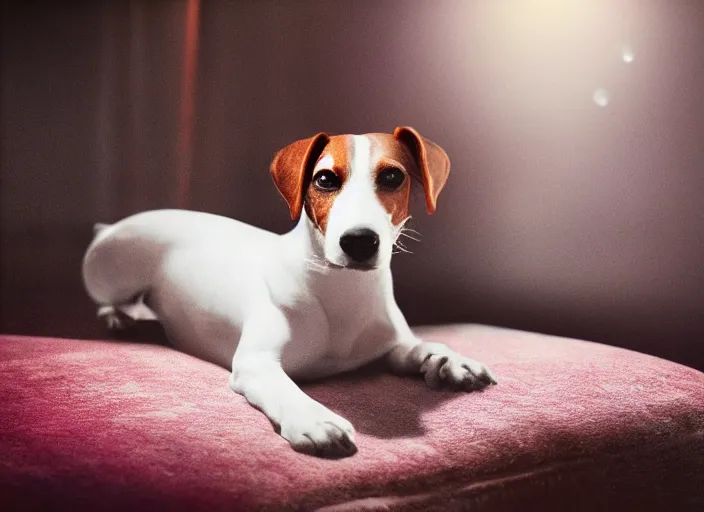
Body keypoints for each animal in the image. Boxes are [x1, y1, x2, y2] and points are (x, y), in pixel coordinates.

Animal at [81, 126, 496, 458]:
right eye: (325, 179)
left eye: (393, 176)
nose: (359, 241)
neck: (339, 291)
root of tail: (112, 226)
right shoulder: (256, 364)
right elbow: (283, 386)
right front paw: (313, 417)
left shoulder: (391, 344)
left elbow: (415, 346)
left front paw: (448, 358)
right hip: (111, 273)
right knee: (108, 300)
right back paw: (117, 316)